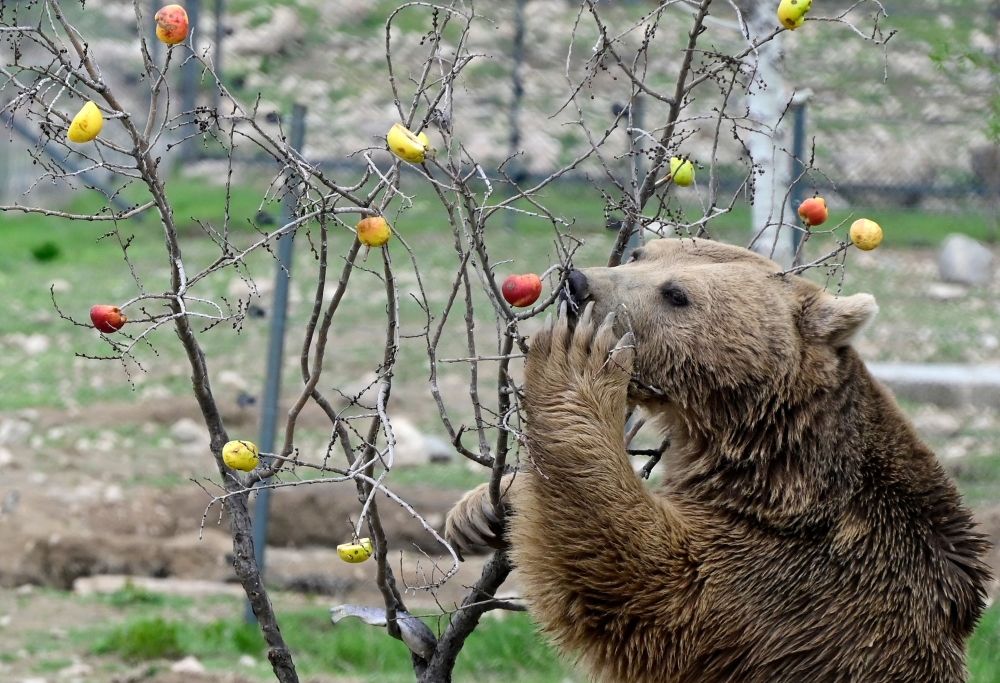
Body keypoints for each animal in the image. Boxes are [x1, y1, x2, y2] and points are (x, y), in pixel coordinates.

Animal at [445, 238, 990, 683]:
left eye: (677, 294)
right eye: (640, 253)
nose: (578, 284)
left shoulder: (798, 584)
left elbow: (645, 579)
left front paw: (575, 360)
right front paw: (480, 509)